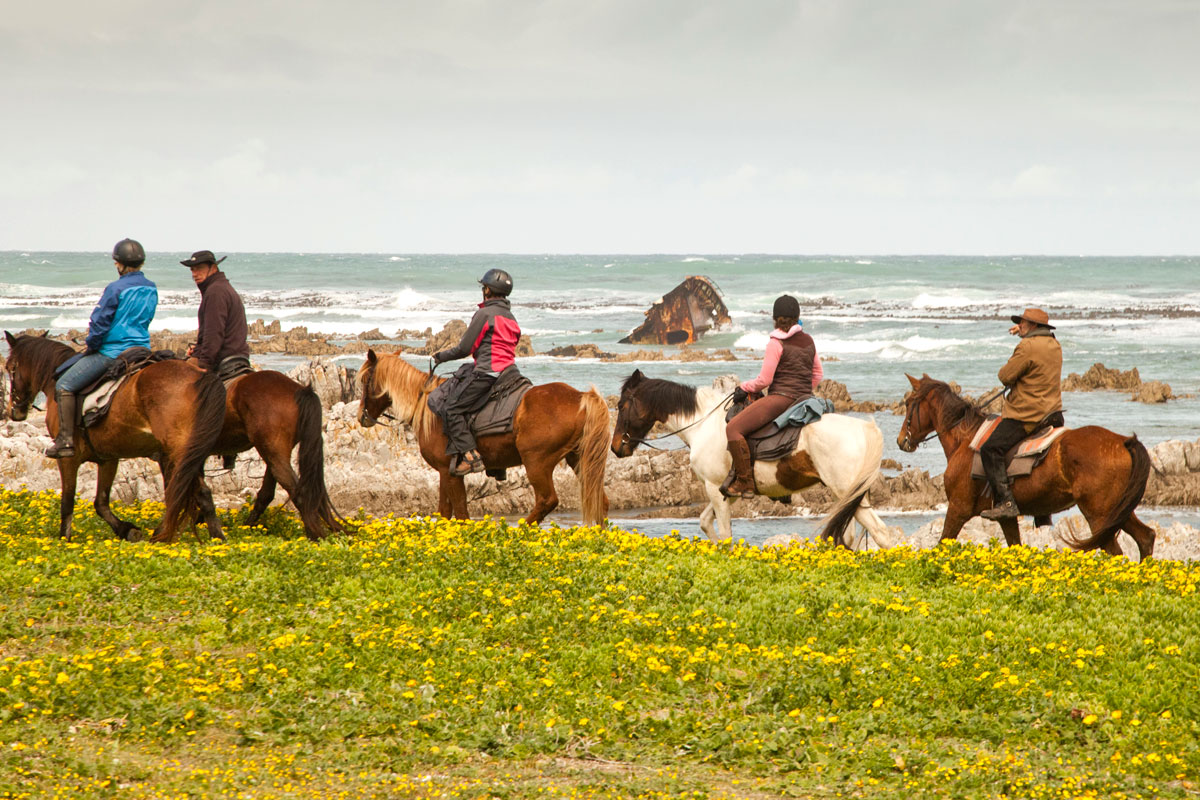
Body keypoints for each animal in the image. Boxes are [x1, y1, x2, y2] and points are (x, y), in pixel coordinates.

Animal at [4, 331, 226, 544]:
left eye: (9, 367)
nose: (15, 411)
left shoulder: (68, 459)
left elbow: (67, 502)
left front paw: (63, 540)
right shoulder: (107, 458)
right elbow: (100, 502)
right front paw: (127, 530)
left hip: (177, 452)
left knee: (185, 492)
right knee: (197, 493)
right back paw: (215, 538)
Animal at [187, 371, 345, 542]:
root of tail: (300, 390)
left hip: (273, 453)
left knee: (298, 492)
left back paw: (313, 535)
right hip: (273, 454)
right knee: (270, 493)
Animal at [350, 350, 604, 525]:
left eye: (364, 380)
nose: (362, 416)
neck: (426, 405)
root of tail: (581, 397)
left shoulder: (449, 471)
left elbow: (460, 513)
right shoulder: (446, 473)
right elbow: (445, 512)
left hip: (537, 463)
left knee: (547, 500)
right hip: (578, 460)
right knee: (599, 500)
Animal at [614, 371, 897, 551]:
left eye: (621, 405)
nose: (616, 447)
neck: (703, 423)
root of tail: (866, 429)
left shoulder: (714, 488)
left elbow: (725, 535)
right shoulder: (727, 491)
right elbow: (705, 522)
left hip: (848, 493)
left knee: (881, 534)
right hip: (851, 497)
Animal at [897, 374, 1156, 556]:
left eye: (909, 403)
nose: (901, 440)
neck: (966, 439)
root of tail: (1123, 441)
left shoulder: (958, 509)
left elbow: (941, 544)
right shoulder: (1006, 518)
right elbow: (1015, 547)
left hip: (1099, 515)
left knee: (1115, 552)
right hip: (1119, 510)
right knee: (1146, 538)